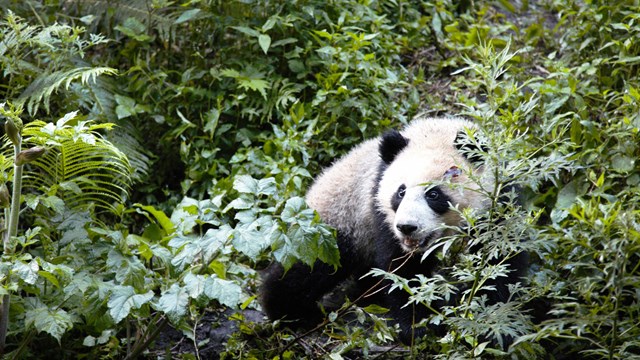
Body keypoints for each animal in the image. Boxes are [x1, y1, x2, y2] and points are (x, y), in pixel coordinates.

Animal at [258, 116, 524, 344]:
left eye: (434, 194)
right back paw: (290, 311)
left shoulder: (500, 201)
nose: (407, 228)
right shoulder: (379, 208)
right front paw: (419, 326)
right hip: (338, 221)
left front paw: (494, 323)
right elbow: (399, 268)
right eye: (401, 192)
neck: (438, 130)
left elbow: (500, 260)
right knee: (308, 265)